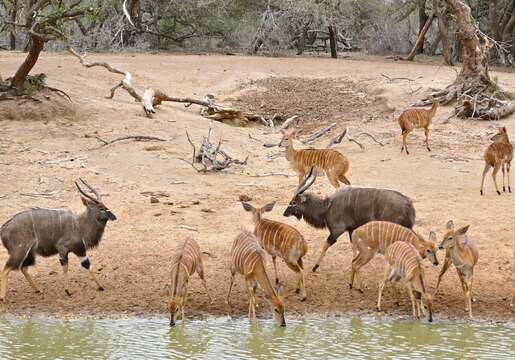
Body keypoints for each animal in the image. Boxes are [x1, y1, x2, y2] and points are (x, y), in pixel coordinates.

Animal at [284, 169, 418, 272]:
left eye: (294, 202)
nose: (284, 213)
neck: (327, 207)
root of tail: (409, 204)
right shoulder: (351, 230)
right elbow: (353, 247)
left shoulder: (336, 231)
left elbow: (325, 246)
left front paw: (315, 267)